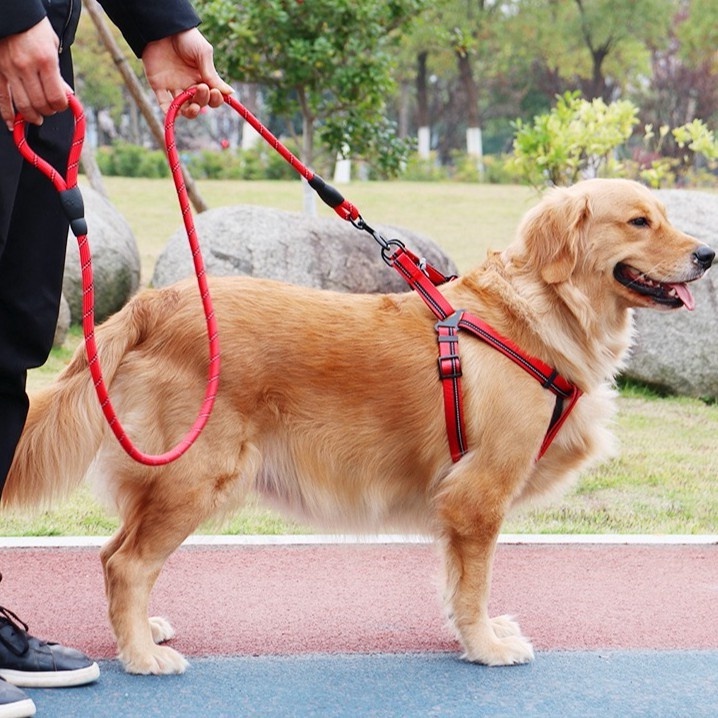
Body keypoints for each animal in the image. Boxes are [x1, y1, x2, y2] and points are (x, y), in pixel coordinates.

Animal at [2, 179, 716, 676]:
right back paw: (142, 658)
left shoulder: (457, 504)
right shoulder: (478, 493)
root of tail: (155, 301)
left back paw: (142, 632)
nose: (708, 254)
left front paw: (472, 635)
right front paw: (486, 646)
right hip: (195, 475)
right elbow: (475, 586)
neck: (533, 315)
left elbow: (457, 584)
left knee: (112, 553)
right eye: (639, 220)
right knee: (127, 563)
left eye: (666, 215)